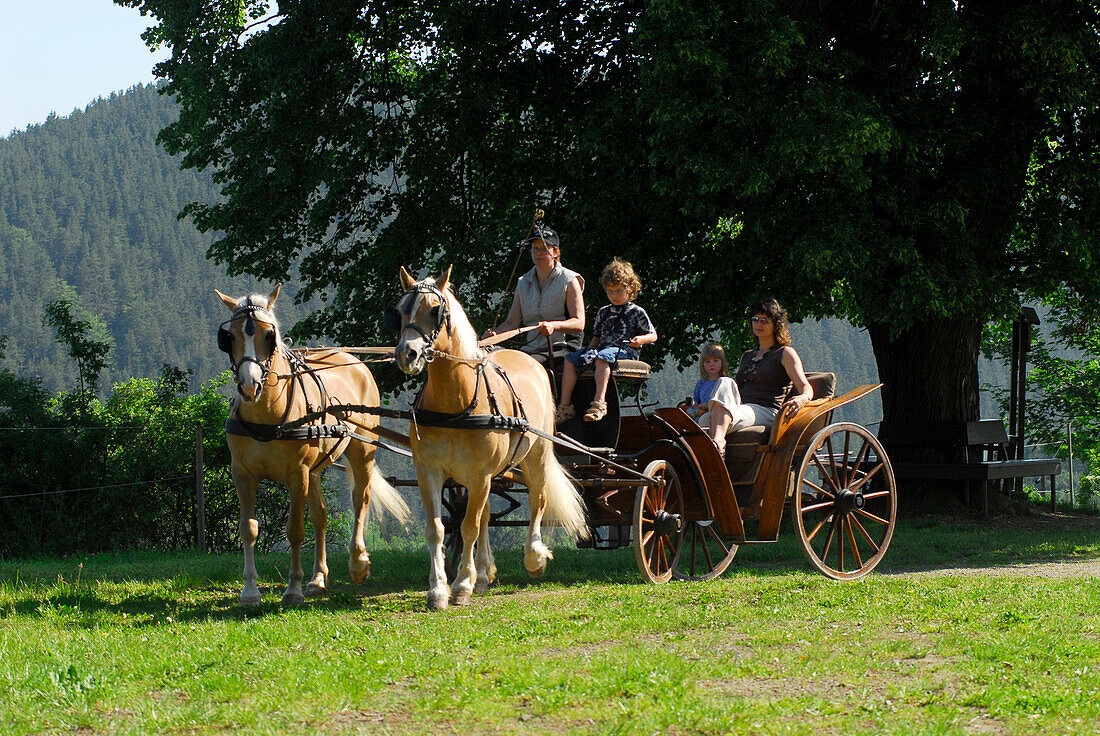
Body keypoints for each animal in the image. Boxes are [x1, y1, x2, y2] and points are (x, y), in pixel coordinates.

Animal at [213, 283, 409, 607]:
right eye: (230, 338)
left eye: (269, 335)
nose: (249, 385)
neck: (269, 414)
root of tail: (354, 361)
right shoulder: (242, 474)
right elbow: (248, 529)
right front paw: (250, 591)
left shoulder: (297, 474)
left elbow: (295, 531)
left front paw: (292, 589)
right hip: (315, 470)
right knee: (321, 517)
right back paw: (318, 579)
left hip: (361, 452)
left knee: (360, 500)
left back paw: (358, 563)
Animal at [391, 264, 589, 607]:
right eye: (402, 310)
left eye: (435, 310)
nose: (408, 354)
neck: (455, 400)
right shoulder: (429, 470)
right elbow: (438, 529)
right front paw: (439, 589)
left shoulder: (479, 473)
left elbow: (468, 526)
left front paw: (460, 586)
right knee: (484, 515)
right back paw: (482, 574)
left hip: (536, 454)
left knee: (537, 499)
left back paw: (533, 558)